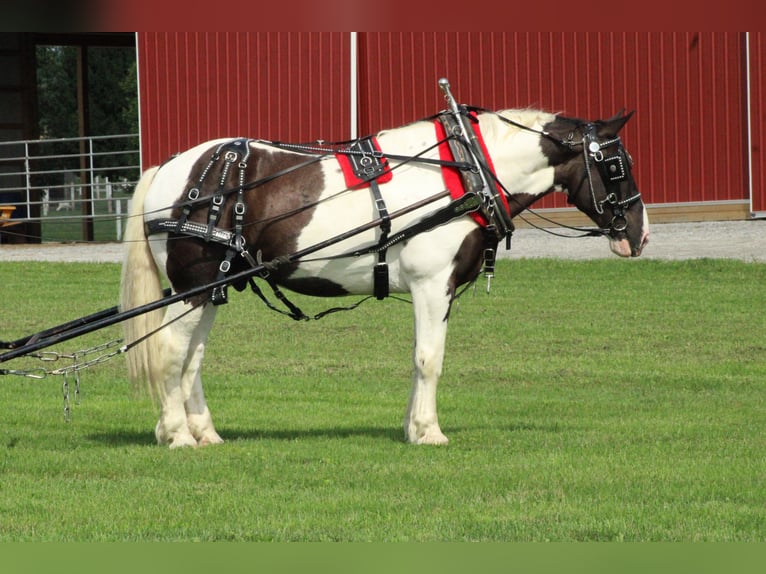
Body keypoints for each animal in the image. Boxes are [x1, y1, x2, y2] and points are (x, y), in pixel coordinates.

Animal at [119, 104, 650, 448]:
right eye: (615, 164)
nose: (639, 235)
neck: (466, 170)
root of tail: (170, 167)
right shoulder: (432, 283)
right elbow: (429, 359)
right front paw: (430, 432)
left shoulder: (435, 290)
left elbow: (420, 357)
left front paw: (413, 425)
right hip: (192, 289)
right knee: (171, 354)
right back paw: (176, 435)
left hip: (213, 288)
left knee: (191, 361)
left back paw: (203, 432)